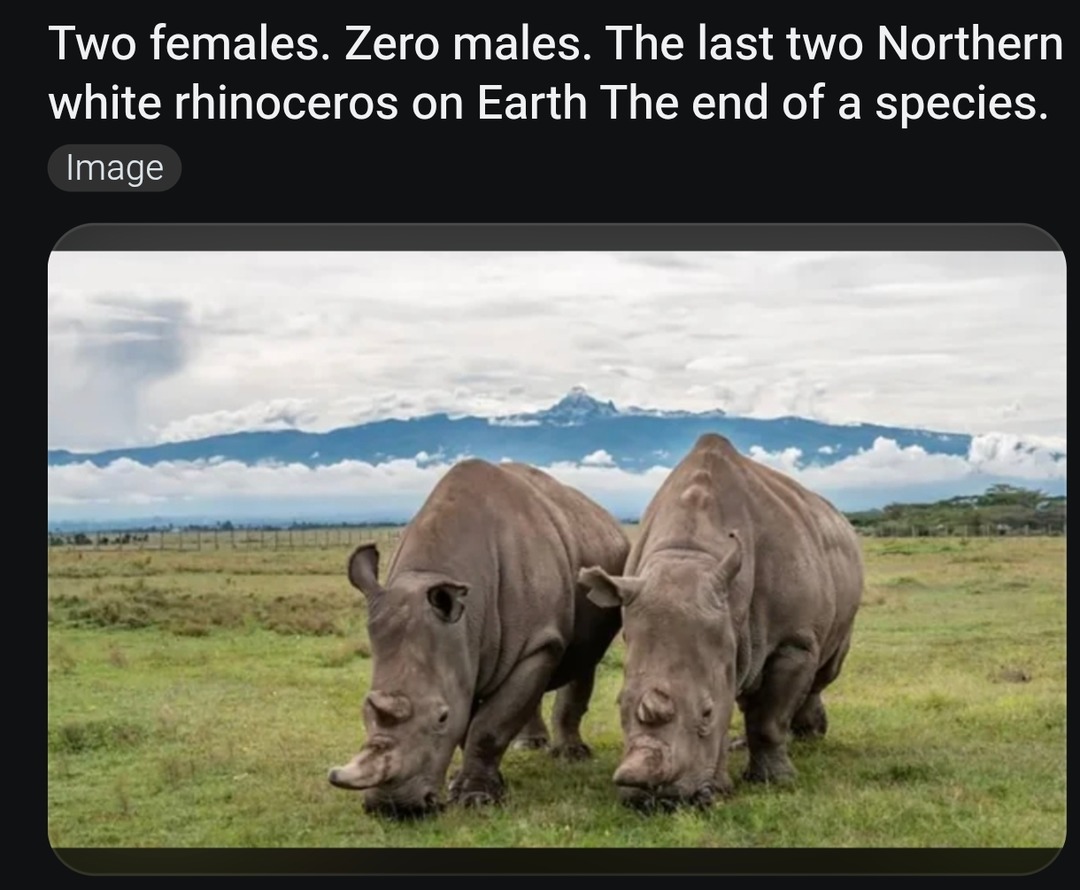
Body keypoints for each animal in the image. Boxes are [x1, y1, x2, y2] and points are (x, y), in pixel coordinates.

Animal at [327, 459, 630, 816]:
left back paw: (571, 756)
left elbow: (488, 724)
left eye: (441, 717)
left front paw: (476, 798)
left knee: (584, 661)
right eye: (365, 709)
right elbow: (472, 720)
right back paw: (529, 746)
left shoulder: (537, 642)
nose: (394, 807)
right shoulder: (461, 649)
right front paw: (470, 784)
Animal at [578, 433, 863, 810]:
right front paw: (722, 786)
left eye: (706, 713)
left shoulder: (794, 641)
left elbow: (769, 719)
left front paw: (776, 781)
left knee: (824, 671)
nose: (656, 799)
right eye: (620, 705)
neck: (690, 555)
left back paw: (809, 737)